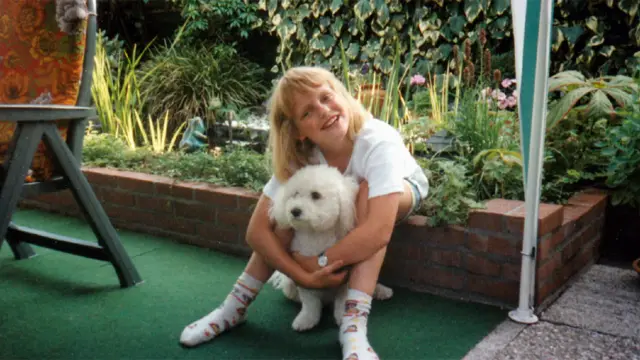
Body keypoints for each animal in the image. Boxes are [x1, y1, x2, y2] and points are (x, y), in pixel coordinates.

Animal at [268, 164, 392, 332]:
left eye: (315, 195)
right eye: (295, 194)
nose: (294, 210)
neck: (317, 235)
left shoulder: (345, 277)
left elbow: (342, 299)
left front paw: (341, 317)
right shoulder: (305, 277)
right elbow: (310, 303)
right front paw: (306, 320)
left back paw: (382, 290)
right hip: (290, 286)